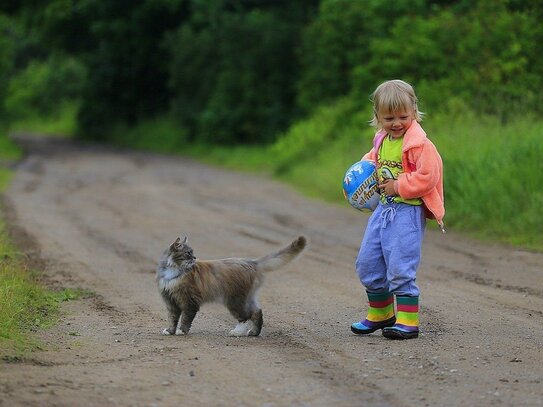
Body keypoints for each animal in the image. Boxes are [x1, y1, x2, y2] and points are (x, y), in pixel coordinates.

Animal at [157, 236, 308, 338]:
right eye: (188, 253)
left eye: (192, 252)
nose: (194, 258)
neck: (173, 271)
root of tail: (252, 262)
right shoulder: (170, 301)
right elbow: (172, 319)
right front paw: (170, 331)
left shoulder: (189, 301)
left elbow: (185, 319)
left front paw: (181, 331)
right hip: (246, 298)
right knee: (257, 312)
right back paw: (253, 333)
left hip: (234, 300)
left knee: (245, 317)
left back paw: (237, 332)